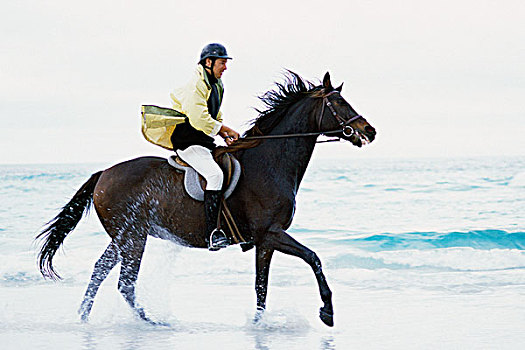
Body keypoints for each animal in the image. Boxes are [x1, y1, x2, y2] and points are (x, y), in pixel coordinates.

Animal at [36, 72, 376, 328]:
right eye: (338, 103)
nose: (369, 130)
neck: (270, 161)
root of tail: (104, 174)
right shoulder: (272, 233)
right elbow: (313, 258)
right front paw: (327, 312)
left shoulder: (265, 242)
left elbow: (261, 287)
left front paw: (259, 324)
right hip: (133, 237)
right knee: (124, 282)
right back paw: (152, 322)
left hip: (124, 236)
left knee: (101, 270)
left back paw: (85, 316)